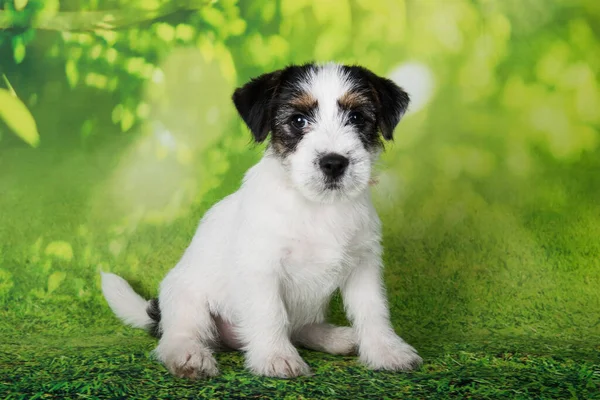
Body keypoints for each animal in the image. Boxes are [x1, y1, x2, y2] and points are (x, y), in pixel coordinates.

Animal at [102, 61, 422, 378]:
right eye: (298, 121)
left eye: (356, 117)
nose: (334, 163)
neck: (319, 206)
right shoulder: (262, 268)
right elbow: (271, 313)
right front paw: (276, 357)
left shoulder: (364, 265)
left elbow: (373, 310)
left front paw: (387, 351)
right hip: (187, 301)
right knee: (178, 335)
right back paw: (189, 356)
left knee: (301, 328)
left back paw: (337, 338)